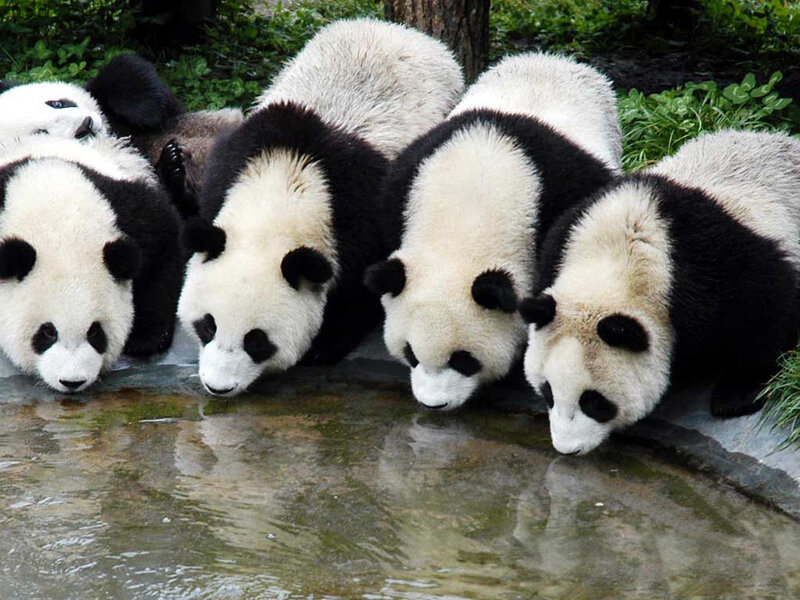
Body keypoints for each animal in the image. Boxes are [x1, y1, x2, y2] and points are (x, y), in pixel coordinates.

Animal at [0, 133, 183, 393]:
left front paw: (146, 337)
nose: (72, 381)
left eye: (95, 332)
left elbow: (164, 240)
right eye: (47, 332)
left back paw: (173, 164)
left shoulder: (124, 212)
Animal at [177, 18, 464, 396]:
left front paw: (324, 345)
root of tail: (398, 29)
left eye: (256, 341)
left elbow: (361, 289)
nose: (218, 387)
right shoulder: (231, 165)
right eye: (208, 325)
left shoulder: (359, 210)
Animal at [520, 129, 800, 455]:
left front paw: (737, 394)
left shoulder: (714, 268)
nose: (568, 448)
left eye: (594, 401)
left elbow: (764, 310)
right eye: (548, 392)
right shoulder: (565, 238)